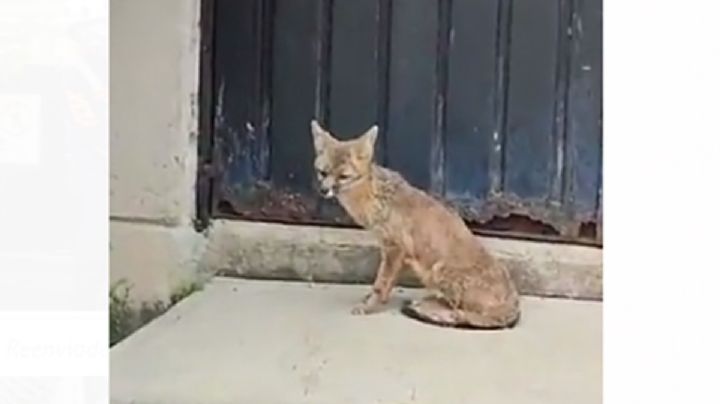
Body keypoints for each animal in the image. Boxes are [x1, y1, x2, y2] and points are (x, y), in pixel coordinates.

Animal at [310, 120, 521, 329]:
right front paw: (373, 299)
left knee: (458, 311)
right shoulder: (392, 252)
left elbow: (381, 284)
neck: (374, 196)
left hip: (438, 271)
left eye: (343, 176)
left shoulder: (395, 249)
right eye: (323, 173)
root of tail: (513, 303)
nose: (323, 190)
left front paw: (369, 306)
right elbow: (385, 284)